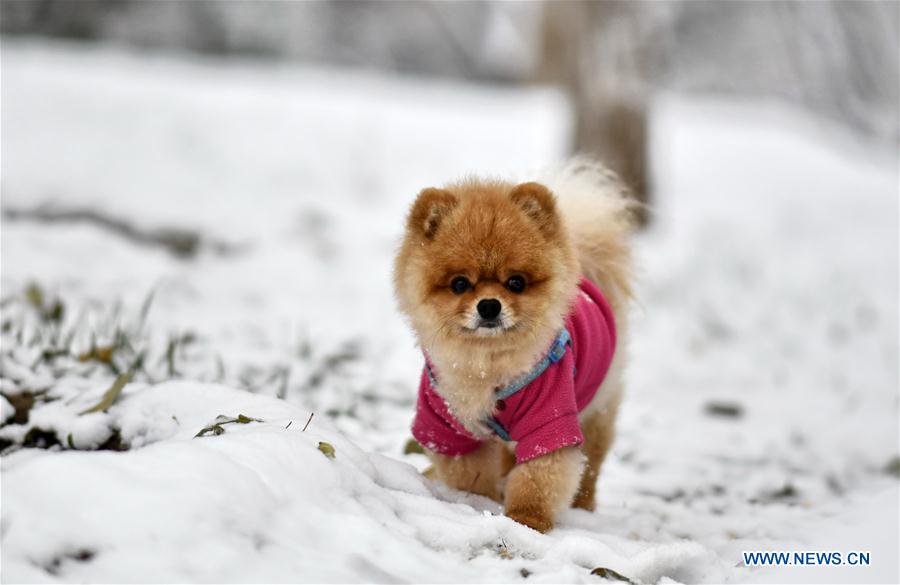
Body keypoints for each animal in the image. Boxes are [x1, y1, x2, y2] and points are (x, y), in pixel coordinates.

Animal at [394, 159, 632, 528]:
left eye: (516, 282)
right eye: (459, 284)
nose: (489, 306)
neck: (487, 366)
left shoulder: (551, 419)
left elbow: (538, 477)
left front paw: (527, 519)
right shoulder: (447, 425)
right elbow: (472, 475)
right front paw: (479, 500)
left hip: (597, 406)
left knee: (591, 461)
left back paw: (583, 505)